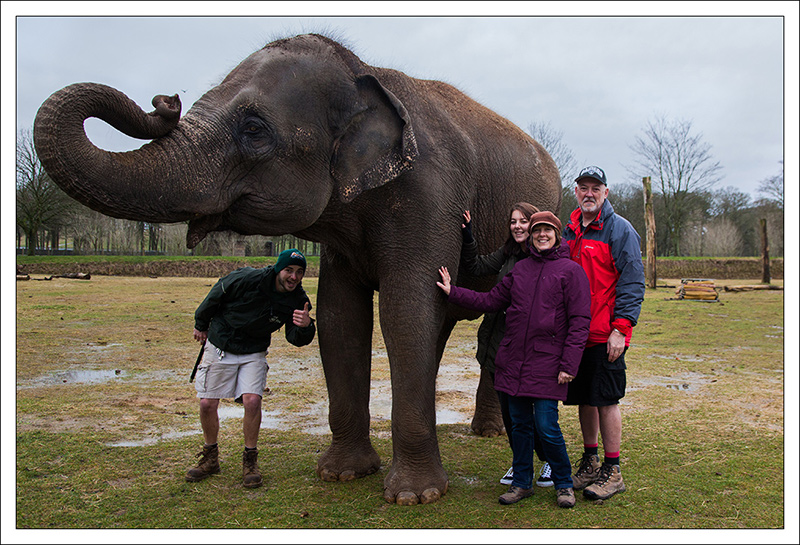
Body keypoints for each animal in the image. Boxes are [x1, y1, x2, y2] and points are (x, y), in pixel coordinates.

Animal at [34, 33, 561, 505]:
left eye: (254, 129)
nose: (166, 101)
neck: (362, 73)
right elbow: (340, 317)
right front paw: (342, 474)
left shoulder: (430, 198)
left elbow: (404, 310)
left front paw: (415, 496)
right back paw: (484, 431)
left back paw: (491, 435)